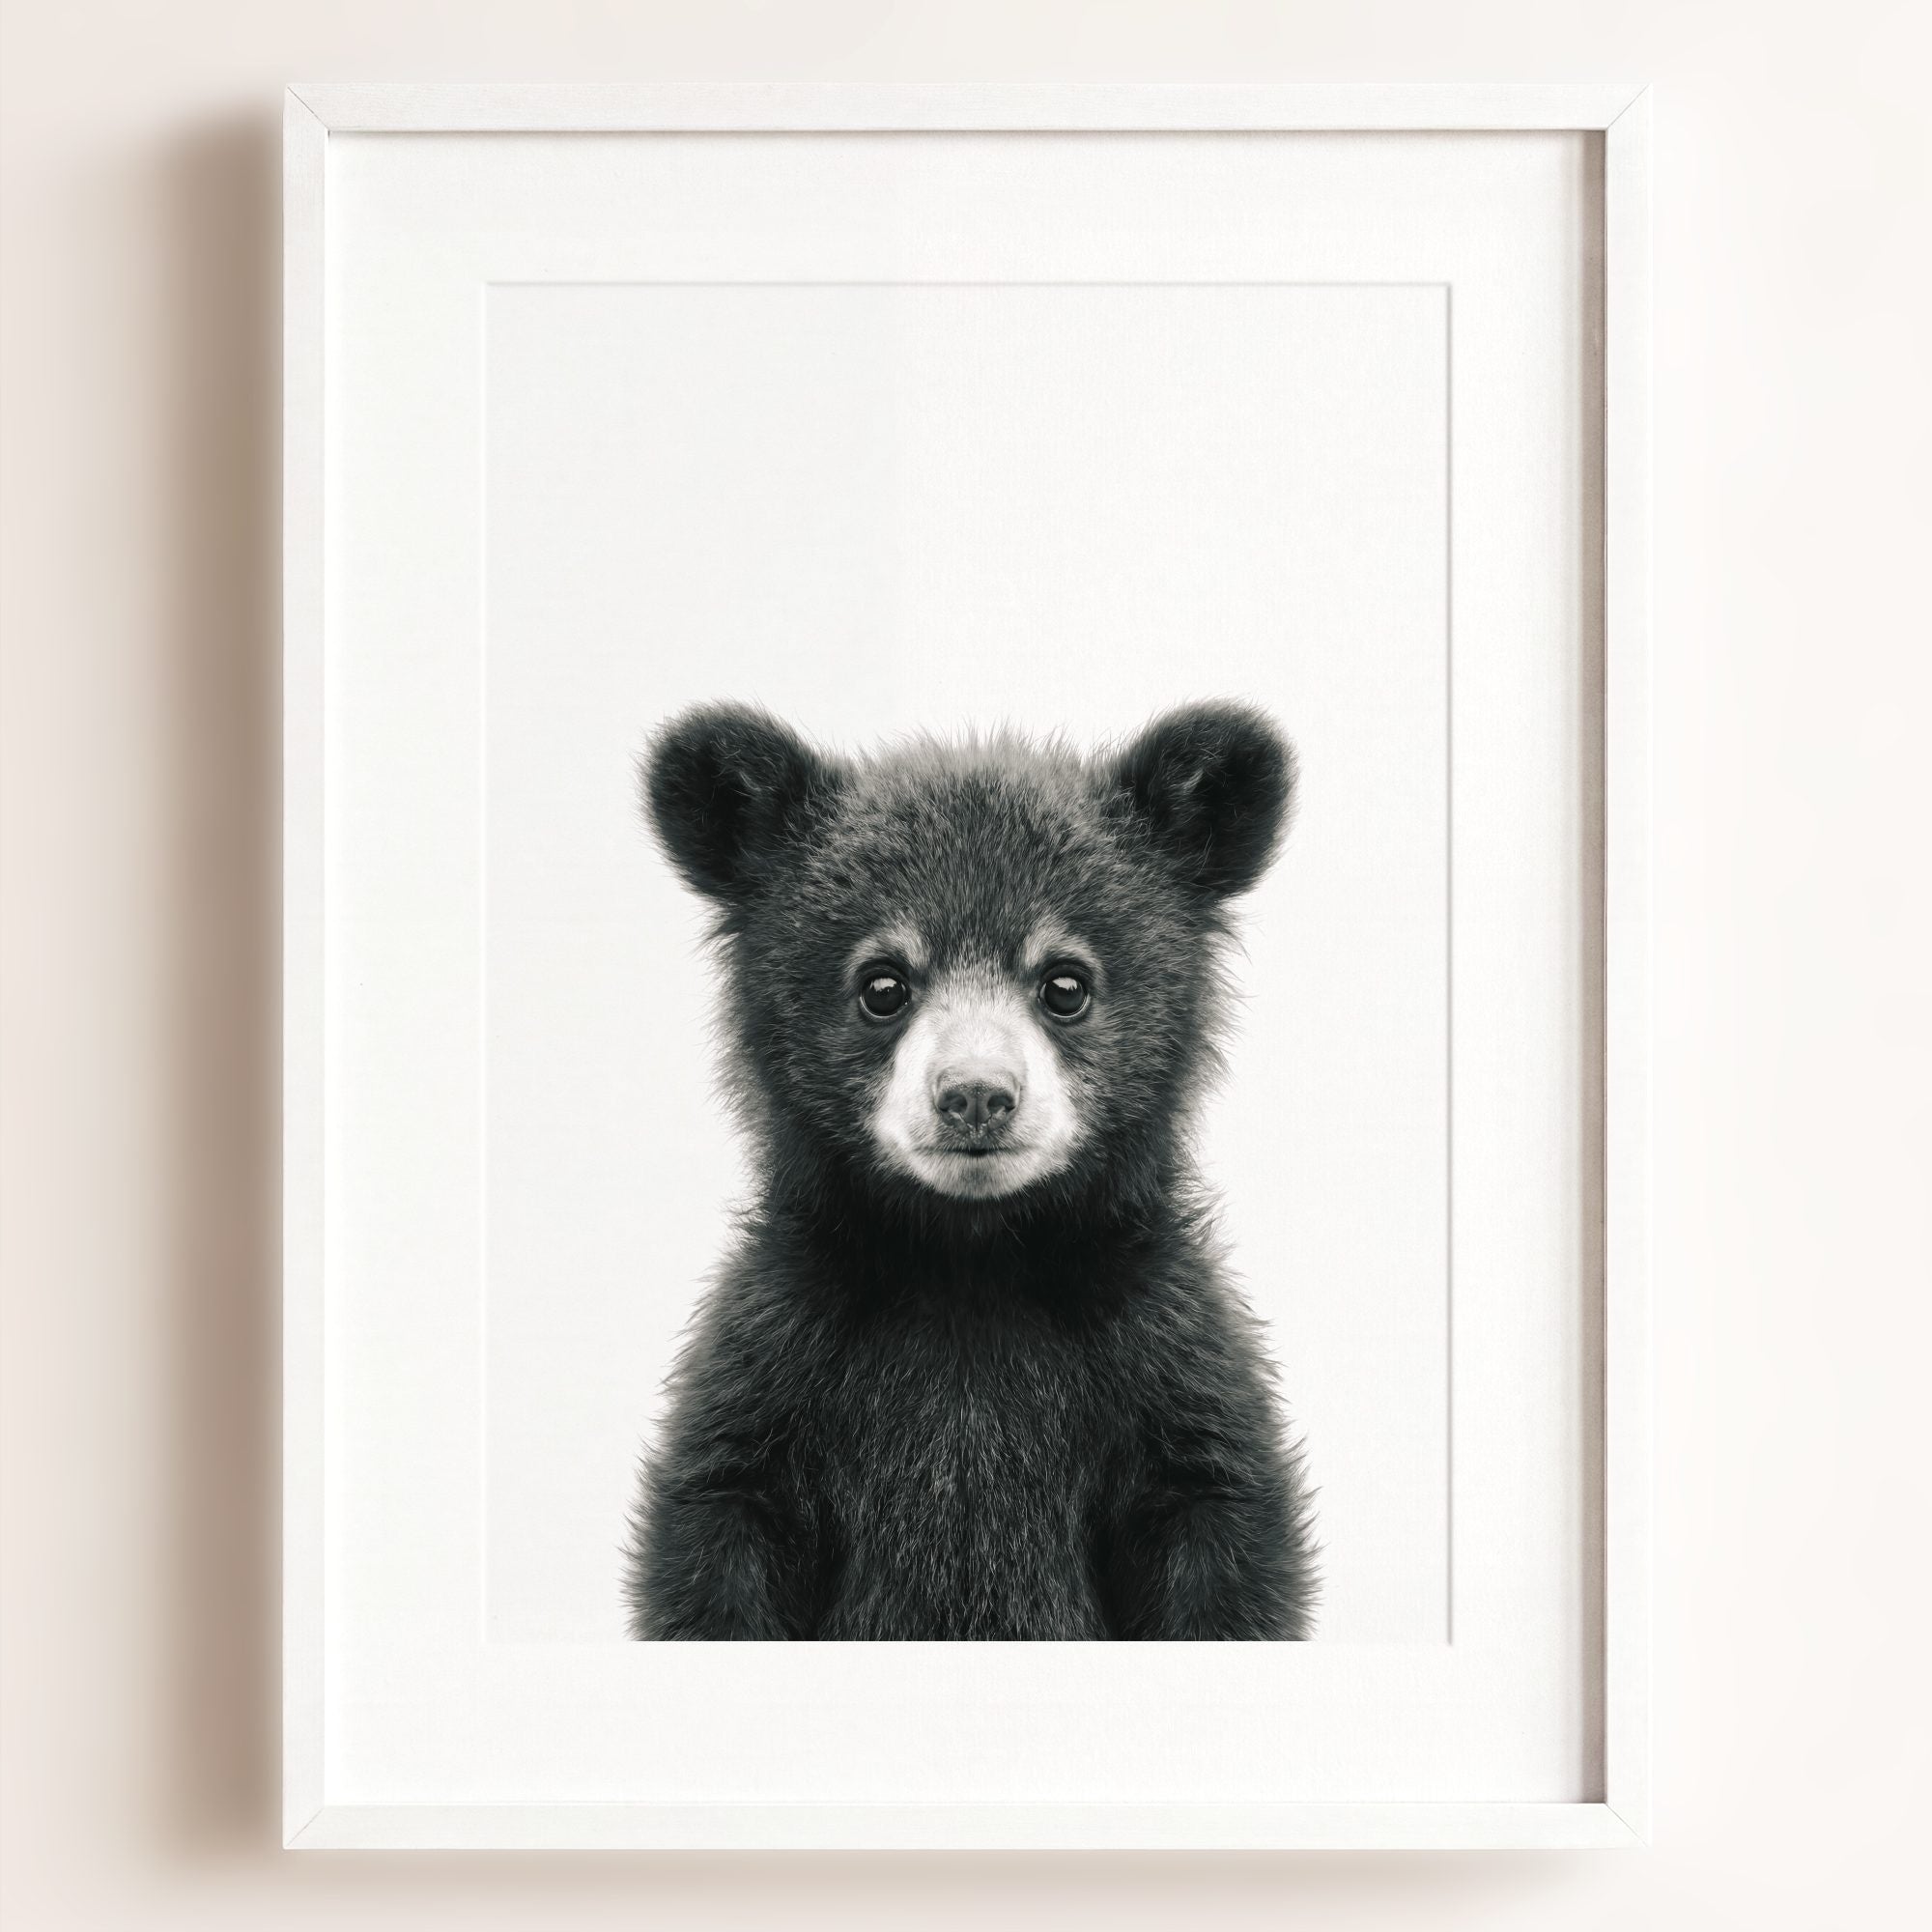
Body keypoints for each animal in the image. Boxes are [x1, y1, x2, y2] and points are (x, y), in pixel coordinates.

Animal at [624, 700, 1317, 1641]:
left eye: (1066, 983)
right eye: (883, 984)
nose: (977, 1097)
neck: (971, 1260)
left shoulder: (1164, 1361)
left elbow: (1219, 1529)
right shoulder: (779, 1362)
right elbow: (719, 1529)